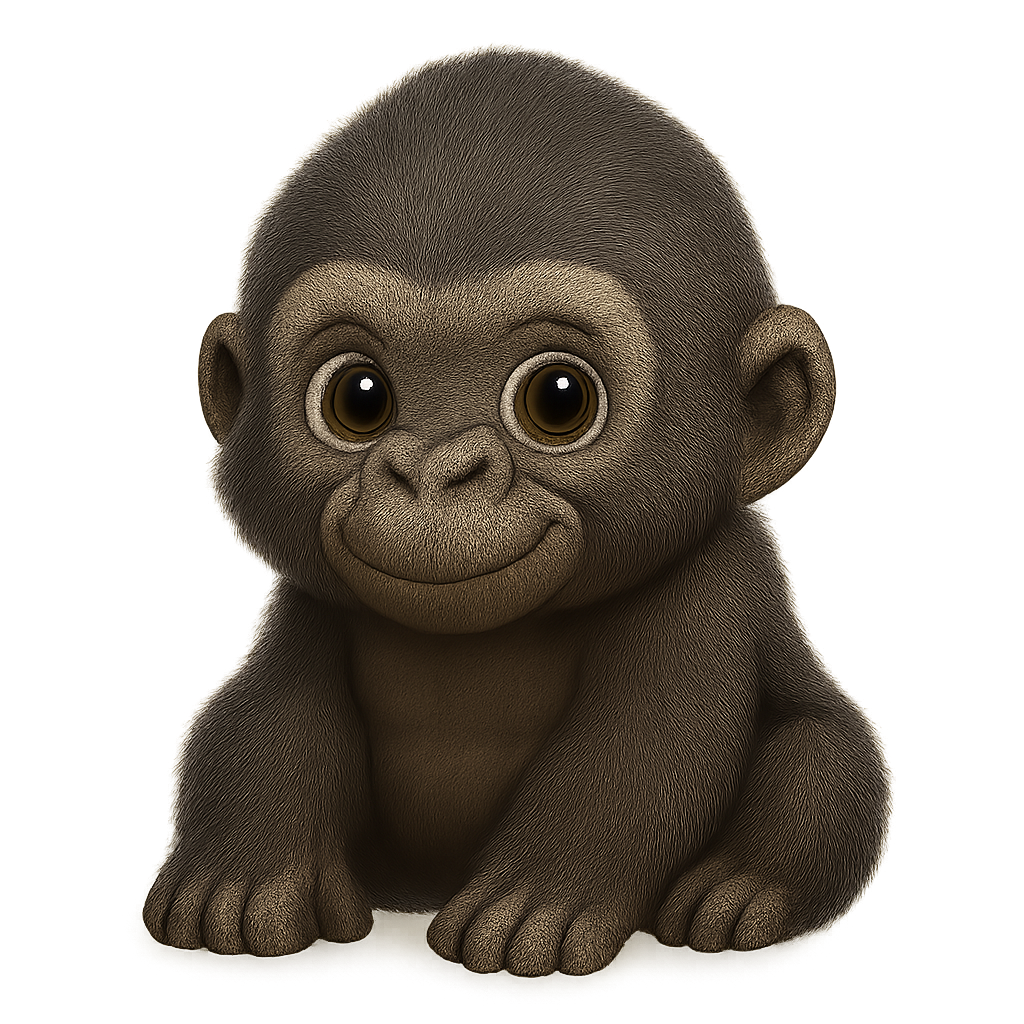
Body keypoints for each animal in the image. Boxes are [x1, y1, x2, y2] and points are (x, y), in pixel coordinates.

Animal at [142, 44, 892, 978]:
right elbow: (269, 708)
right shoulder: (307, 598)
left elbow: (644, 750)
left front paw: (540, 903)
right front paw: (244, 880)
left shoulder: (710, 585)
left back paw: (748, 889)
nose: (432, 471)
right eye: (357, 398)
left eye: (559, 398)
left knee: (824, 761)